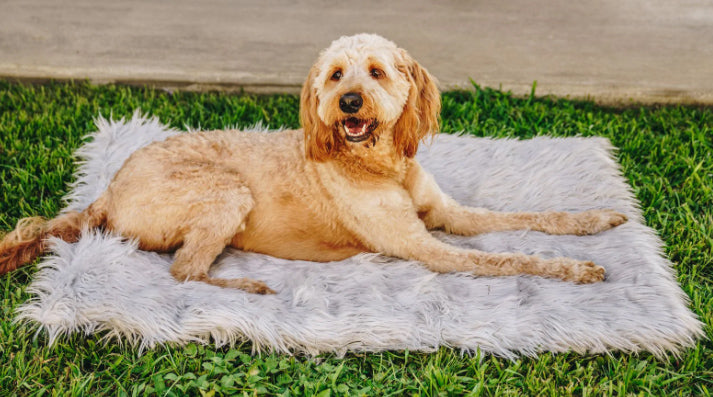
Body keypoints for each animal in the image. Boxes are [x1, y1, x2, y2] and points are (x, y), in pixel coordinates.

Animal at [0, 34, 624, 294]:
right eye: (334, 75)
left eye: (376, 72)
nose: (347, 102)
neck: (379, 166)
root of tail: (107, 190)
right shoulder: (426, 248)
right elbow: (510, 258)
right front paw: (576, 270)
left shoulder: (448, 215)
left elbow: (528, 218)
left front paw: (595, 219)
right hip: (226, 192)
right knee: (184, 271)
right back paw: (247, 286)